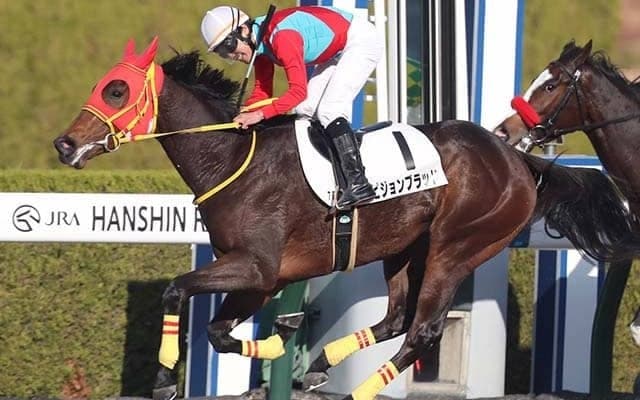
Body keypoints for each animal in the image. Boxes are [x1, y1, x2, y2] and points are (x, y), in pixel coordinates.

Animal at [53, 37, 640, 400]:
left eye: (116, 89)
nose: (65, 144)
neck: (233, 159)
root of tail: (518, 159)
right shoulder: (261, 278)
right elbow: (219, 332)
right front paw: (279, 340)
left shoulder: (256, 267)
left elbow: (177, 290)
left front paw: (164, 380)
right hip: (405, 250)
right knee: (396, 319)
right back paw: (320, 366)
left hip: (457, 245)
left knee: (422, 330)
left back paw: (357, 386)